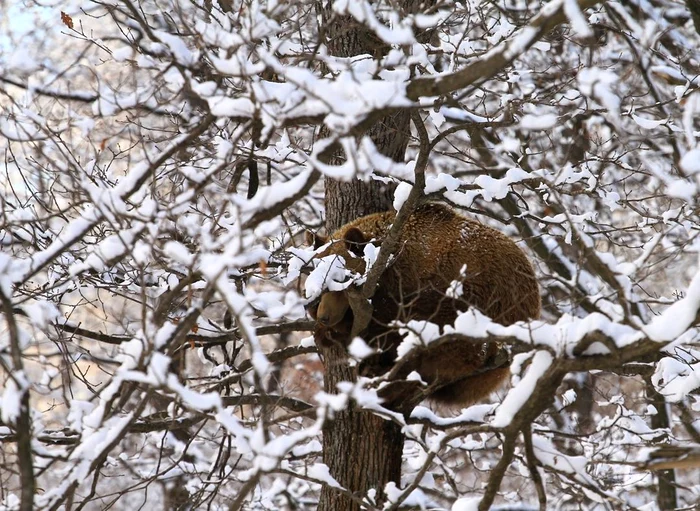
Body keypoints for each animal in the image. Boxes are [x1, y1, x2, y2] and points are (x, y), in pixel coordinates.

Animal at [306, 203, 540, 408]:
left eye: (342, 280)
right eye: (320, 280)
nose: (324, 316)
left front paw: (340, 332)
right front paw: (323, 331)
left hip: (481, 304)